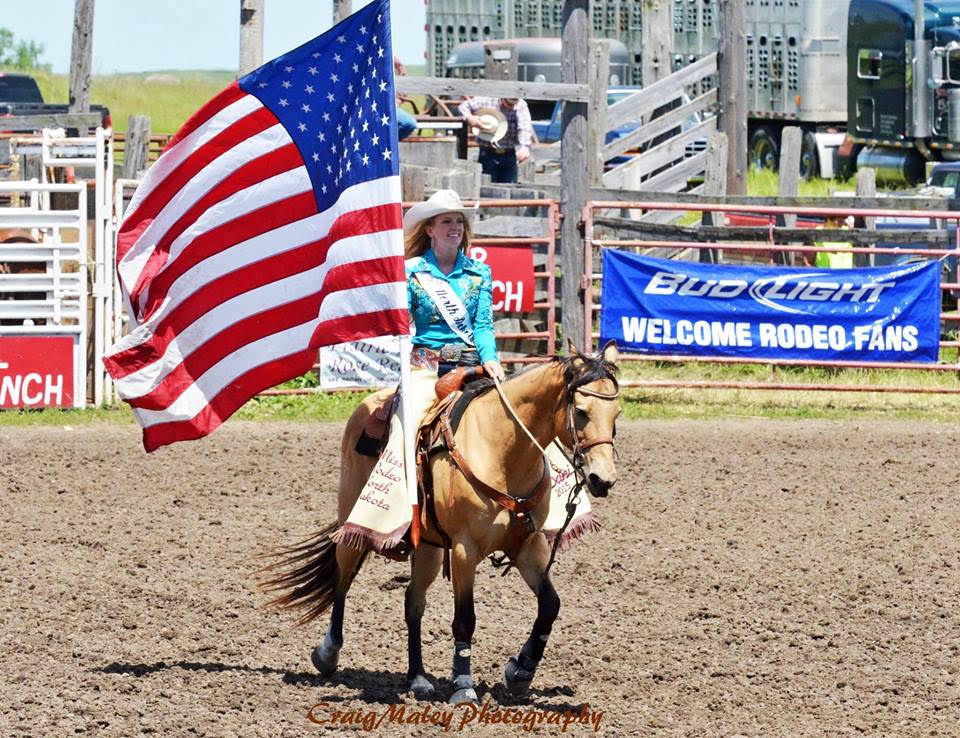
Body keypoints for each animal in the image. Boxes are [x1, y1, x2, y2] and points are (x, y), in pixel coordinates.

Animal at [260, 341, 621, 704]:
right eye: (581, 411)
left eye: (616, 415)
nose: (602, 480)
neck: (502, 449)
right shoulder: (464, 549)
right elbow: (465, 619)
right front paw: (463, 685)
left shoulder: (527, 546)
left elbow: (550, 605)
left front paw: (520, 672)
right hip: (355, 521)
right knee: (343, 579)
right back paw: (328, 653)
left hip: (429, 548)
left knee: (413, 602)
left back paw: (418, 678)